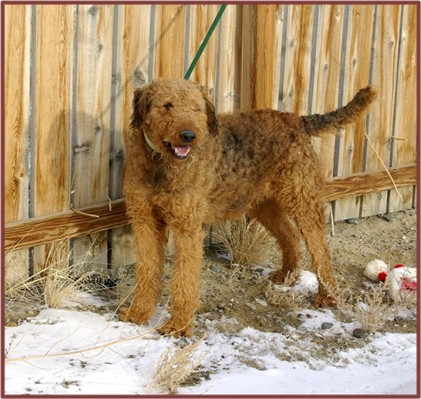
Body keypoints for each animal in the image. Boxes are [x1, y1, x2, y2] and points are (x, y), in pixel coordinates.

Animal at [120, 79, 374, 338]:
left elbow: (184, 279)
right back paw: (287, 275)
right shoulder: (144, 220)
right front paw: (139, 313)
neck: (160, 164)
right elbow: (147, 270)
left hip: (302, 200)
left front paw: (178, 325)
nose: (189, 136)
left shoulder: (187, 227)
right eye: (167, 105)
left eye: (196, 108)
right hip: (264, 204)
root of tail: (297, 119)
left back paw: (327, 296)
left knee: (320, 250)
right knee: (290, 235)